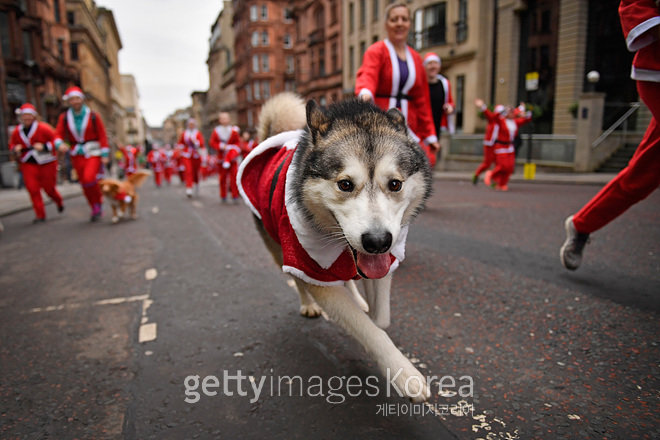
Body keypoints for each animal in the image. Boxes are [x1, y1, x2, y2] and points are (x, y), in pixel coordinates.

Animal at [237, 93, 434, 402]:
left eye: (395, 184)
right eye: (345, 184)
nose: (377, 242)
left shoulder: (386, 260)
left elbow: (380, 320)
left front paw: (371, 315)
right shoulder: (310, 264)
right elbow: (368, 328)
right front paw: (404, 372)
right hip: (280, 247)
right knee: (298, 280)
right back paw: (308, 305)